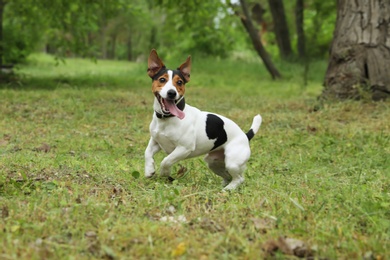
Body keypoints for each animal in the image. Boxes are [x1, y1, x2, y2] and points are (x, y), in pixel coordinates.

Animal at [144, 49, 262, 191]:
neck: (167, 119)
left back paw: (228, 189)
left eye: (179, 82)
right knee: (227, 175)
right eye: (162, 79)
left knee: (239, 178)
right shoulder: (156, 141)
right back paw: (223, 185)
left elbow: (166, 161)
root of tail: (245, 135)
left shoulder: (184, 148)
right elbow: (147, 152)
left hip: (232, 162)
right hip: (213, 162)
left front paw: (164, 173)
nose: (172, 93)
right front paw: (149, 170)